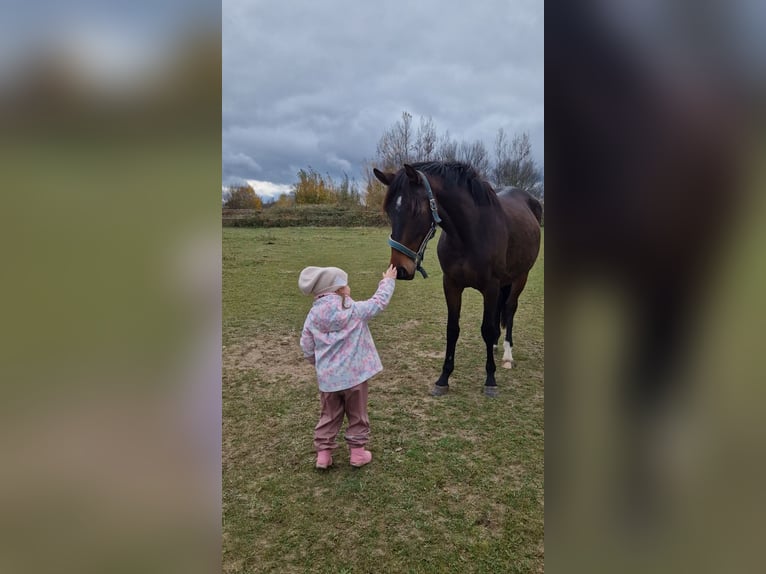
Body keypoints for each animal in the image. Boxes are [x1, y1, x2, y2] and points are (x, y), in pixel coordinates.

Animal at [374, 160, 544, 398]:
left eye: (415, 210)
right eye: (390, 211)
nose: (400, 269)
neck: (470, 234)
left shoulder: (491, 287)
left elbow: (487, 329)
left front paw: (490, 380)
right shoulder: (451, 285)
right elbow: (452, 329)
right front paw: (443, 378)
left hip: (521, 277)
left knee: (510, 309)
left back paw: (507, 356)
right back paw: (494, 346)